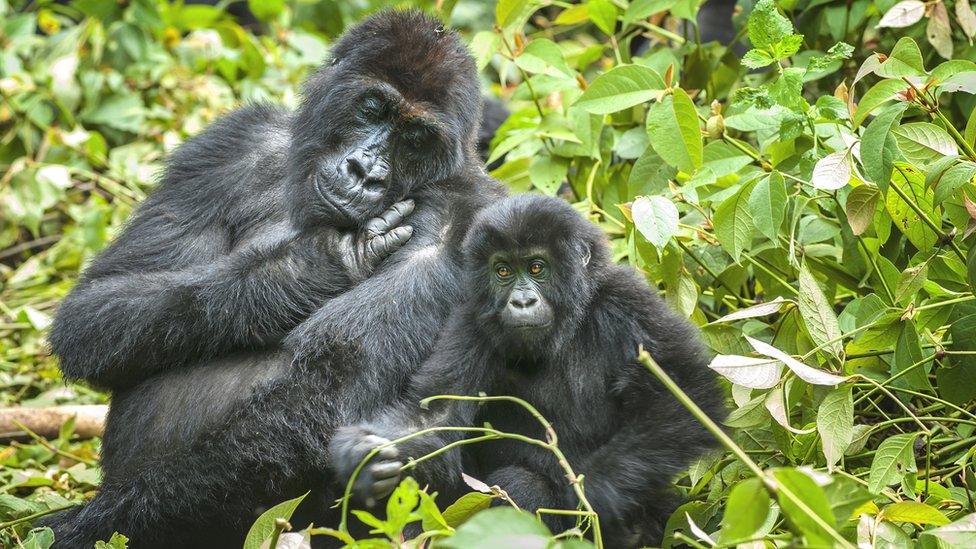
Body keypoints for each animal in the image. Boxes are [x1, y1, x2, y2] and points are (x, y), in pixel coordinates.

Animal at [44, 9, 504, 548]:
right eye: (372, 108)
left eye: (415, 140)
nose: (364, 172)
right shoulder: (233, 141)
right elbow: (93, 310)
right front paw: (304, 270)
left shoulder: (468, 218)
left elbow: (332, 388)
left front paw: (93, 523)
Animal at [334, 193, 724, 544]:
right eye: (503, 270)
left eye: (537, 267)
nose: (521, 301)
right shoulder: (472, 321)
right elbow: (434, 415)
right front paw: (362, 453)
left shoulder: (628, 300)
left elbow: (685, 395)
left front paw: (597, 492)